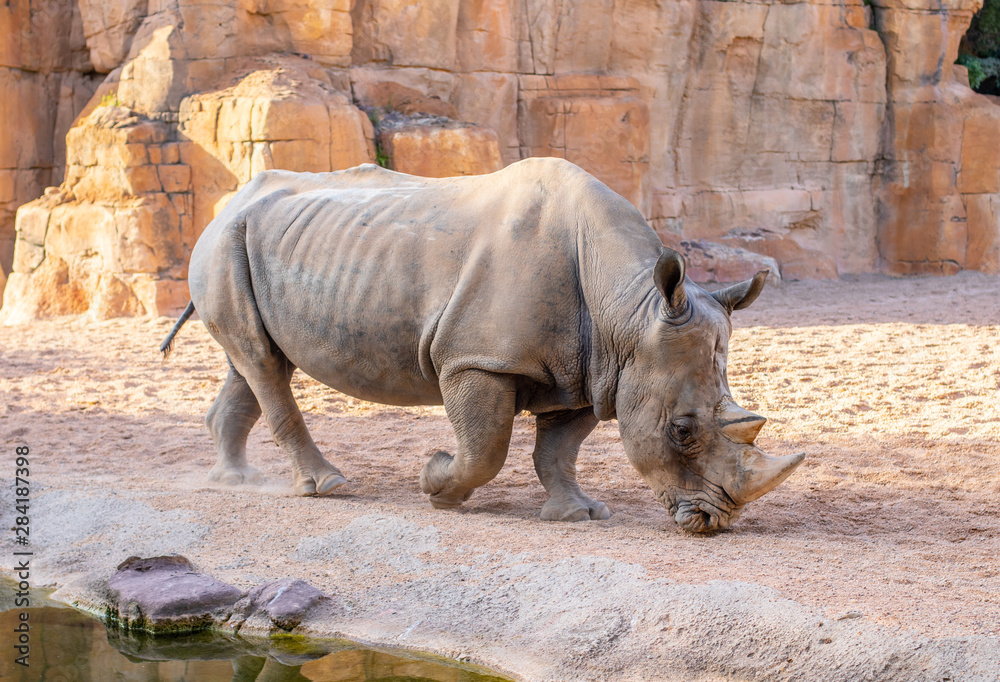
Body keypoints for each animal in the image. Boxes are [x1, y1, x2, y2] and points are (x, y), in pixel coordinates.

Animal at [161, 157, 803, 533]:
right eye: (682, 430)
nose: (714, 522)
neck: (630, 309)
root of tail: (228, 203)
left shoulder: (594, 369)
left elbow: (559, 449)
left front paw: (579, 514)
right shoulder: (477, 360)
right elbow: (486, 446)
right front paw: (436, 483)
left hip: (255, 244)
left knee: (253, 362)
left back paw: (234, 481)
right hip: (223, 243)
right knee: (263, 363)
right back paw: (328, 488)